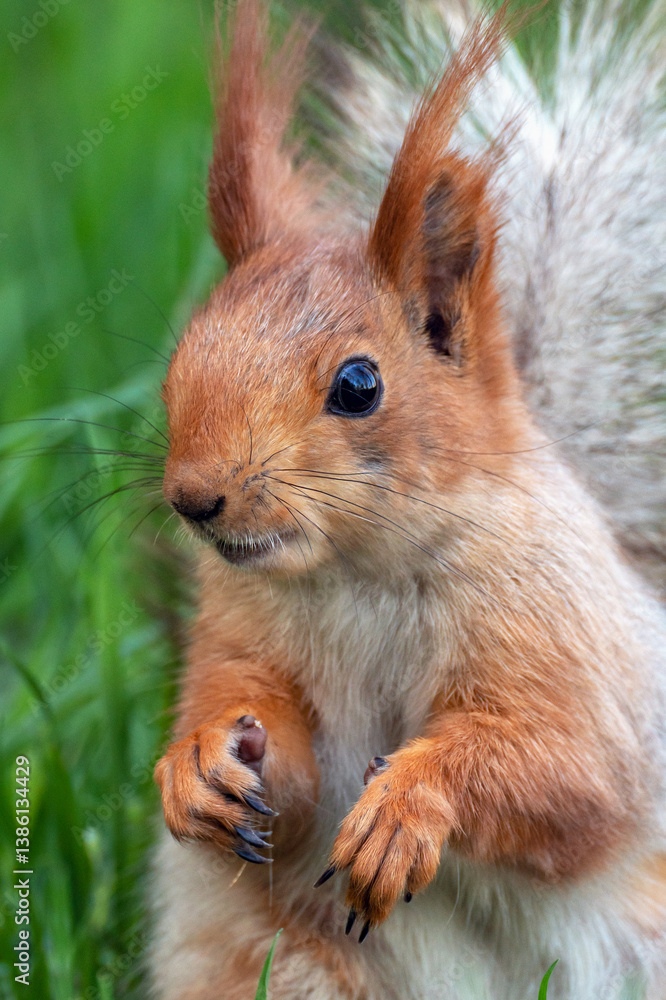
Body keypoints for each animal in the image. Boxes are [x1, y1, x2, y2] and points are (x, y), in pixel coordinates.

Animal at [149, 1, 666, 998]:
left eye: (359, 386)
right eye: (184, 351)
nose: (195, 498)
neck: (360, 576)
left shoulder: (575, 646)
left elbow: (565, 774)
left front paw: (408, 806)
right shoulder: (239, 629)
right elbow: (276, 754)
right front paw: (203, 758)